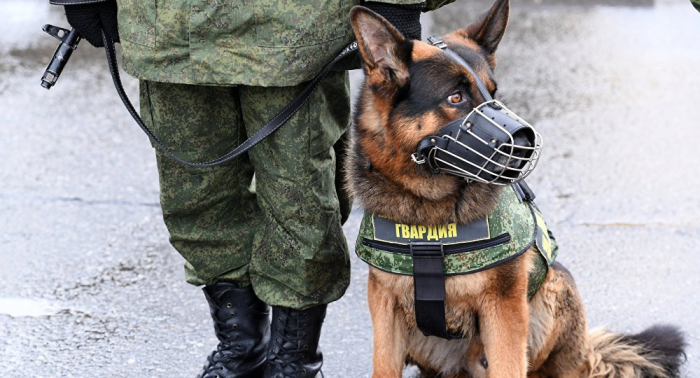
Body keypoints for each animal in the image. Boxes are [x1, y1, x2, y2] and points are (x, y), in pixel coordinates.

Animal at [348, 1, 688, 376]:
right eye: (455, 97)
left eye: (492, 93)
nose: (524, 142)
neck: (430, 217)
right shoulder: (385, 308)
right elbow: (383, 366)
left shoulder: (504, 308)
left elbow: (508, 365)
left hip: (555, 289)